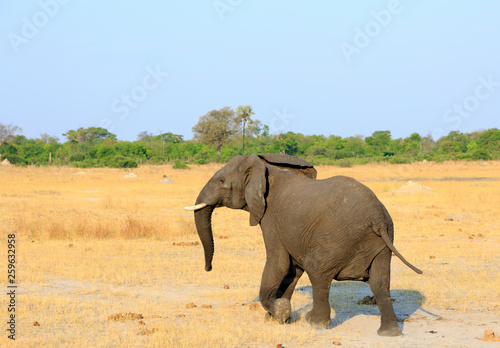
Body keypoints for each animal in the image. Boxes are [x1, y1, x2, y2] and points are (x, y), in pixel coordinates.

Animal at [185, 154, 422, 336]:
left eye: (221, 181)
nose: (208, 268)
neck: (266, 168)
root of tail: (377, 219)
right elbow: (292, 270)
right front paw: (275, 318)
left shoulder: (271, 218)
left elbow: (278, 263)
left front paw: (280, 311)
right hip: (381, 242)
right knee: (380, 282)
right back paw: (389, 333)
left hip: (337, 237)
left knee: (318, 272)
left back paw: (314, 323)